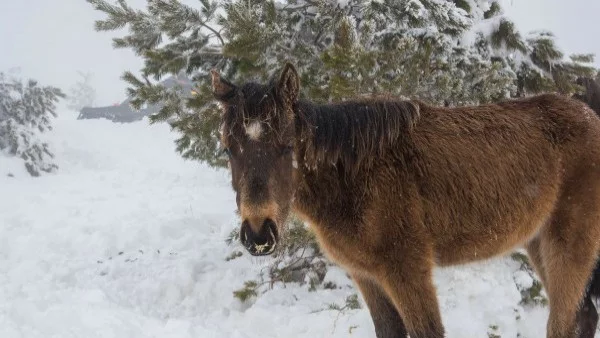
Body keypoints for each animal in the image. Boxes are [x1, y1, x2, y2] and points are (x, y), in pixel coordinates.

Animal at [212, 62, 600, 336]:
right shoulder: (366, 276)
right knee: (583, 316)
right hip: (537, 243)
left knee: (564, 322)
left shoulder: (407, 272)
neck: (355, 176)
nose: (259, 234)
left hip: (567, 246)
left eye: (287, 146)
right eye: (229, 148)